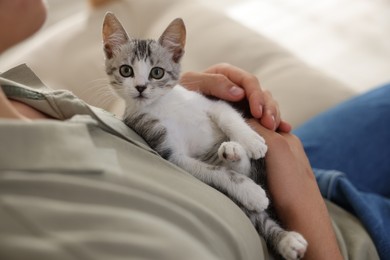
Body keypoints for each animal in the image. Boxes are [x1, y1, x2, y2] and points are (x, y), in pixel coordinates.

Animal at [103, 12, 308, 260]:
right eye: (126, 71)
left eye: (157, 72)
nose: (141, 87)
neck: (163, 106)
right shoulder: (169, 151)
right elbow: (217, 173)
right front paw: (250, 192)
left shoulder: (209, 102)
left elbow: (226, 115)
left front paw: (251, 140)